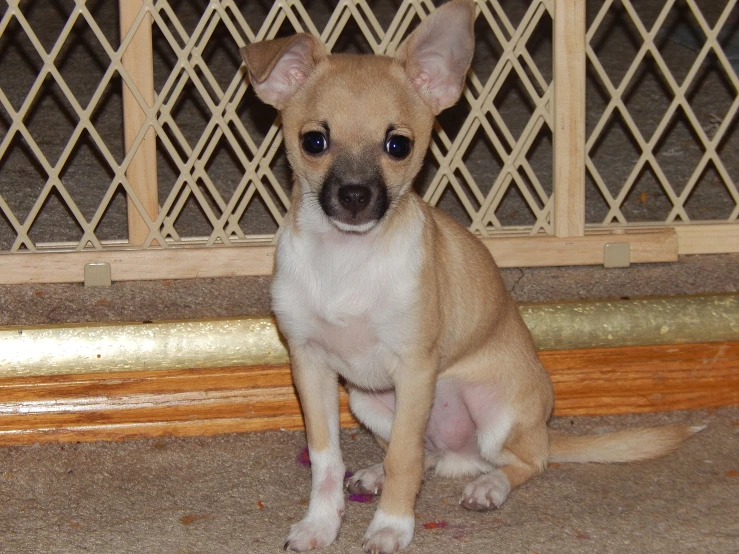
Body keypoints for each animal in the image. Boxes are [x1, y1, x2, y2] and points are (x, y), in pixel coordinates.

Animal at [240, 2, 704, 548]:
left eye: (397, 145)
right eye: (315, 140)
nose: (355, 196)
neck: (347, 260)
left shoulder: (414, 369)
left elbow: (403, 459)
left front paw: (391, 527)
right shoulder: (311, 367)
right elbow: (326, 459)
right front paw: (321, 523)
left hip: (496, 414)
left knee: (524, 460)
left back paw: (490, 486)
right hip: (368, 401)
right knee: (428, 453)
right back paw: (378, 474)